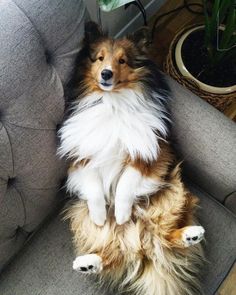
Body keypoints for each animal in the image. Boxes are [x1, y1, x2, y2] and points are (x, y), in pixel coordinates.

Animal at [57, 21, 205, 295]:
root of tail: (141, 243)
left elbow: (125, 183)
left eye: (123, 60)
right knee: (114, 255)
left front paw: (122, 213)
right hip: (82, 218)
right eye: (100, 58)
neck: (112, 101)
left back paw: (190, 234)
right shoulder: (81, 158)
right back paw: (87, 263)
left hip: (174, 196)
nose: (106, 74)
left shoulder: (152, 156)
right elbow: (94, 187)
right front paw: (102, 215)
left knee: (167, 236)